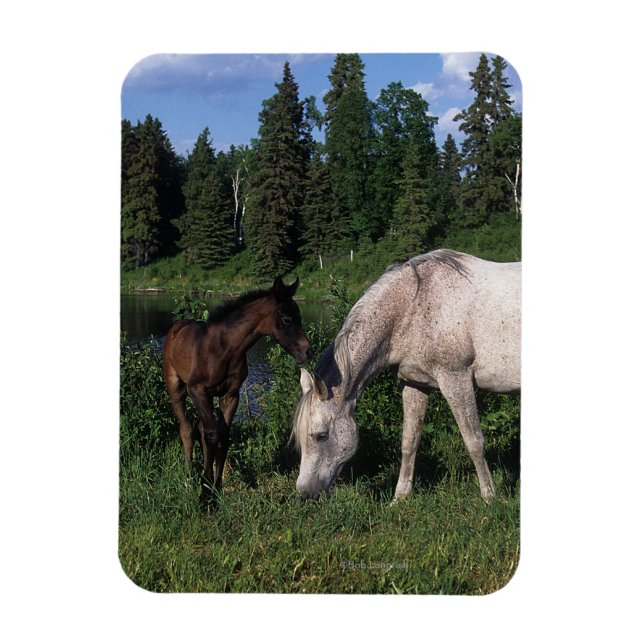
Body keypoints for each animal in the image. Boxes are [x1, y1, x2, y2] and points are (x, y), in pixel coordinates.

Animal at [163, 277, 313, 500]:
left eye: (300, 316)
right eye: (287, 319)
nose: (308, 351)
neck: (225, 349)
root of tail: (177, 327)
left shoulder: (231, 395)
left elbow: (223, 437)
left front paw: (217, 487)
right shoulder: (197, 390)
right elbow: (212, 435)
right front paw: (205, 493)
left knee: (200, 428)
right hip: (177, 389)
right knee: (187, 429)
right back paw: (189, 476)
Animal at [292, 250, 521, 502]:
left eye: (321, 435)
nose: (304, 492)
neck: (413, 306)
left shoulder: (456, 380)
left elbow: (474, 441)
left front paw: (489, 496)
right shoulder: (415, 384)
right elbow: (409, 442)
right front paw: (399, 497)